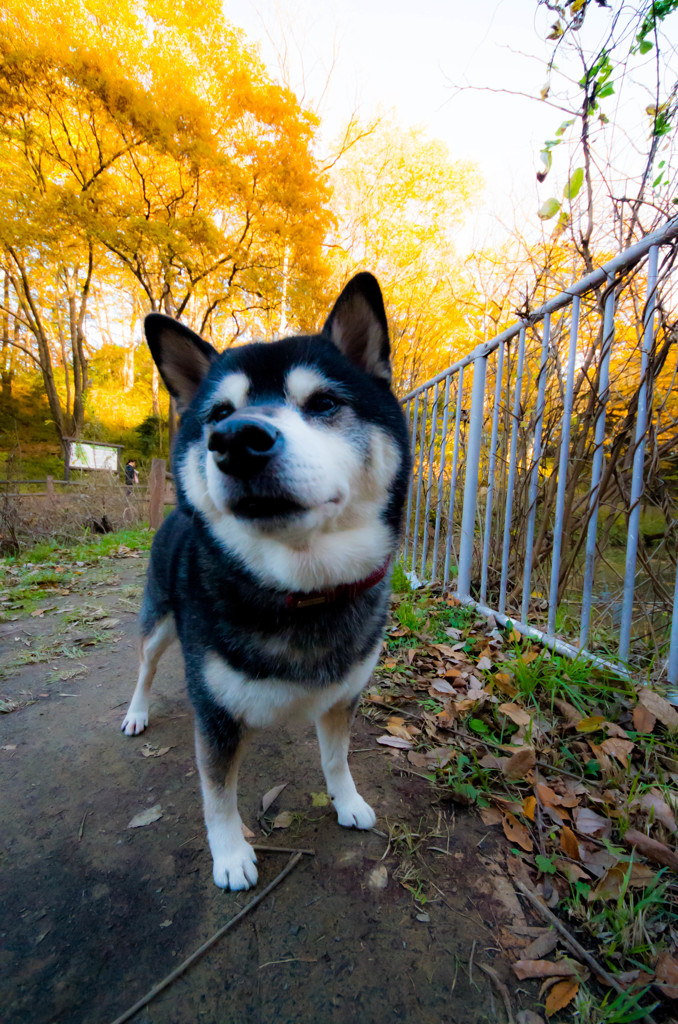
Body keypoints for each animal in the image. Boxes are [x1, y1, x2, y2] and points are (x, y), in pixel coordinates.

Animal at [119, 272, 411, 888]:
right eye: (217, 414)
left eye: (324, 403)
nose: (236, 440)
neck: (303, 591)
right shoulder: (216, 717)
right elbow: (217, 795)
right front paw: (231, 855)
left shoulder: (342, 696)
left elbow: (335, 757)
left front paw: (348, 802)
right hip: (159, 622)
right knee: (145, 666)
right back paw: (136, 712)